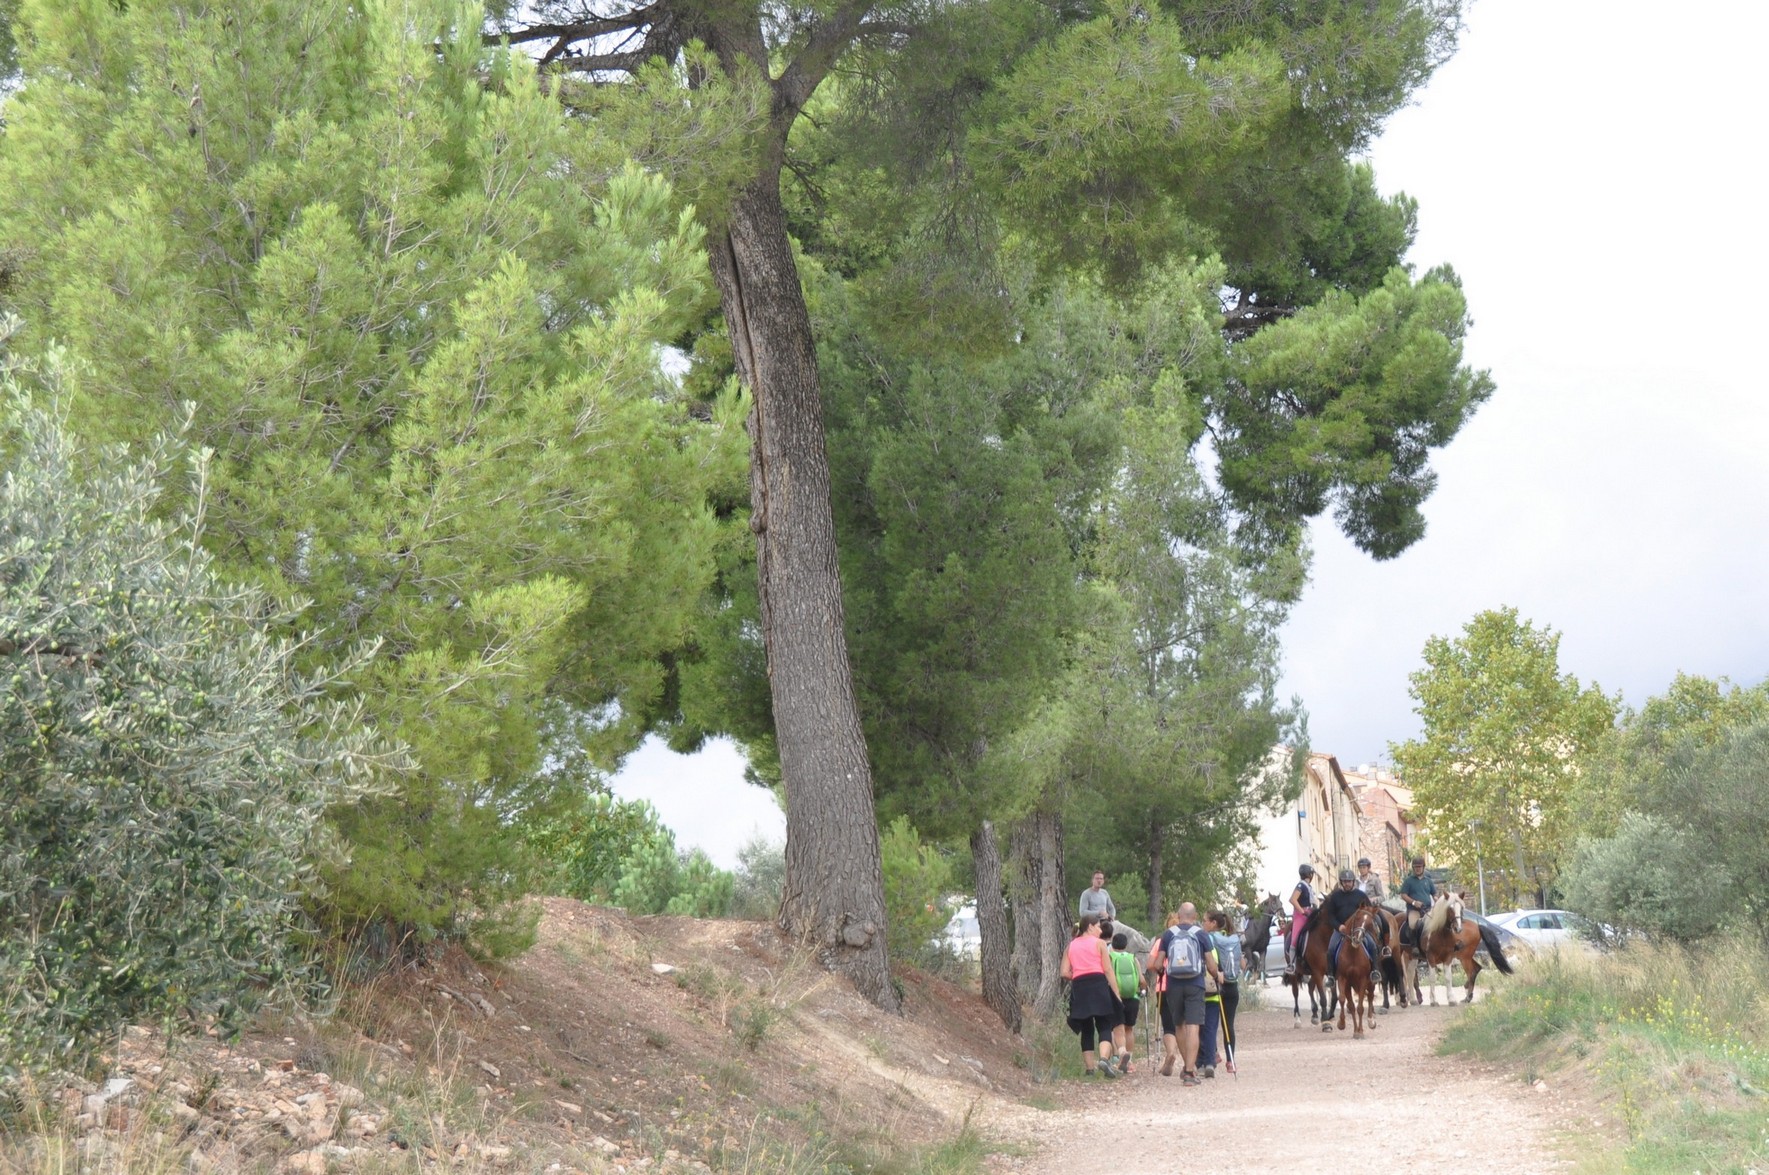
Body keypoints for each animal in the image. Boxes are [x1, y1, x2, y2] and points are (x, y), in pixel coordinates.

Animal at [1332, 906, 1381, 1038]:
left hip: (1371, 982)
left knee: (1370, 996)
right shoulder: (1343, 979)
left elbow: (1360, 1007)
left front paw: (1361, 1031)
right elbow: (1345, 1001)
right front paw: (1343, 1024)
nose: (1357, 939)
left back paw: (1371, 1021)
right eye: (1357, 918)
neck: (1352, 952)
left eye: (1369, 924)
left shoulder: (1363, 980)